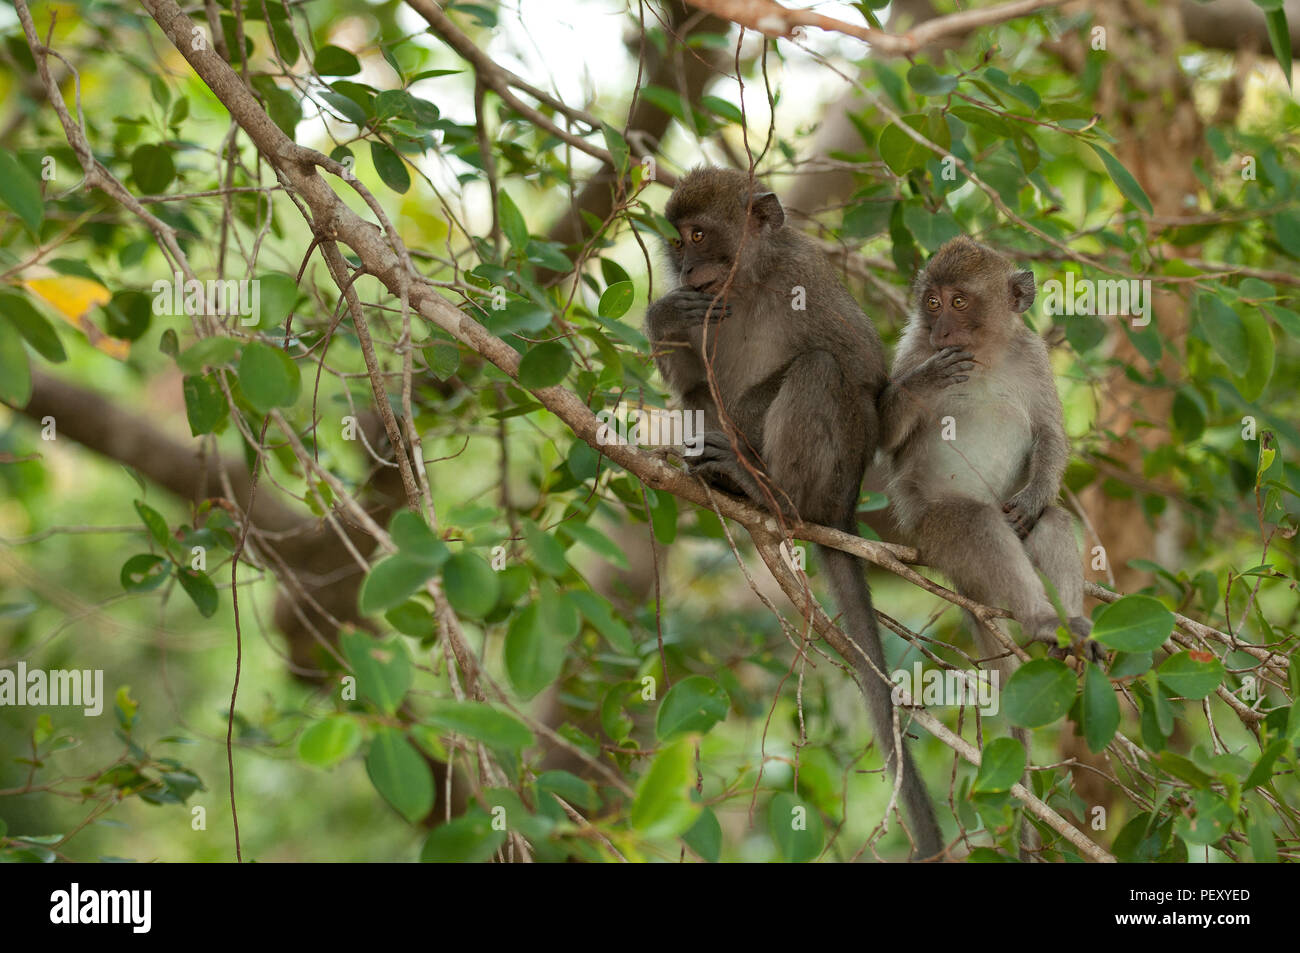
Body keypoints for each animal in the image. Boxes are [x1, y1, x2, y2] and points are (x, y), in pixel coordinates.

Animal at [642, 167, 941, 858]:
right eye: (677, 240)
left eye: (701, 234)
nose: (687, 266)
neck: (749, 283)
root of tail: (845, 509)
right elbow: (685, 382)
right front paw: (664, 313)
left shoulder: (805, 276)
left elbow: (861, 373)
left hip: (831, 482)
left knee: (819, 370)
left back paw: (767, 492)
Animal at [878, 236, 1102, 670]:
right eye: (933, 302)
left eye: (958, 301)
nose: (942, 330)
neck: (984, 355)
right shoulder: (913, 347)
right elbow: (884, 439)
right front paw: (929, 377)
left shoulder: (1032, 352)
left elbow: (1049, 432)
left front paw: (1035, 496)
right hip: (932, 534)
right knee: (976, 523)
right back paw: (1042, 621)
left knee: (1050, 521)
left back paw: (1070, 632)